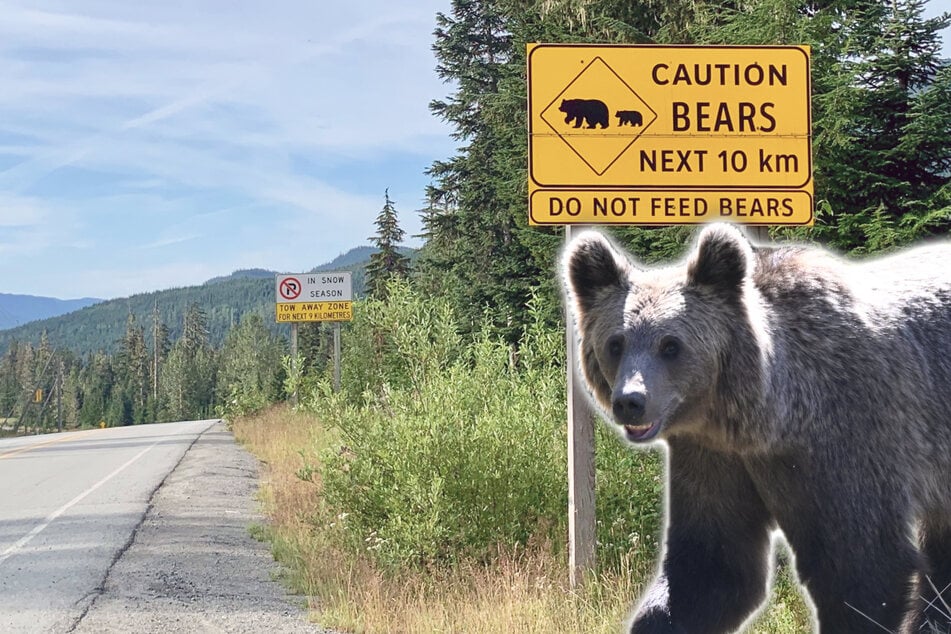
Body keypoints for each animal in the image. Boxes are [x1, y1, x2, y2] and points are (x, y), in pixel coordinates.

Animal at [562, 223, 951, 634]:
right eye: (615, 343)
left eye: (671, 345)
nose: (630, 401)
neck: (770, 419)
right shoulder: (714, 457)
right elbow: (711, 567)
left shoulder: (848, 438)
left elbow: (863, 566)